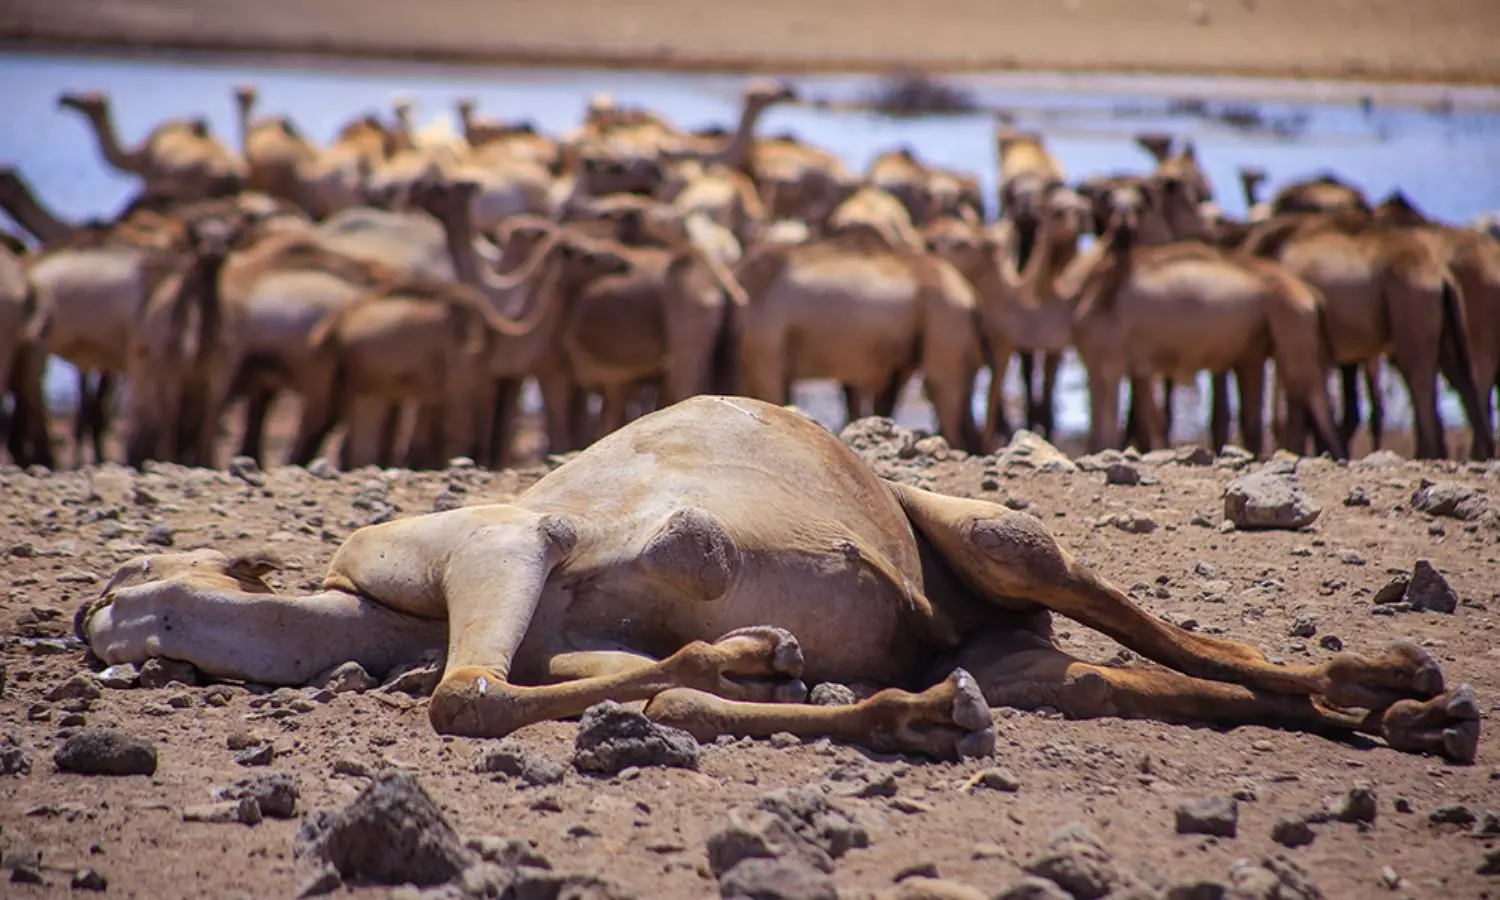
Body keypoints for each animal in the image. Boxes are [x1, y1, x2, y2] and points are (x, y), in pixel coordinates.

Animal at [79, 395, 1480, 764]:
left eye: (145, 561)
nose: (91, 615)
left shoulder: (491, 543)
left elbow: (464, 693)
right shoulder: (575, 646)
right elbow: (660, 690)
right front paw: (830, 685)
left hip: (1002, 539)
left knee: (1187, 640)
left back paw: (1398, 682)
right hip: (1021, 651)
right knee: (1119, 685)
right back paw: (1398, 714)